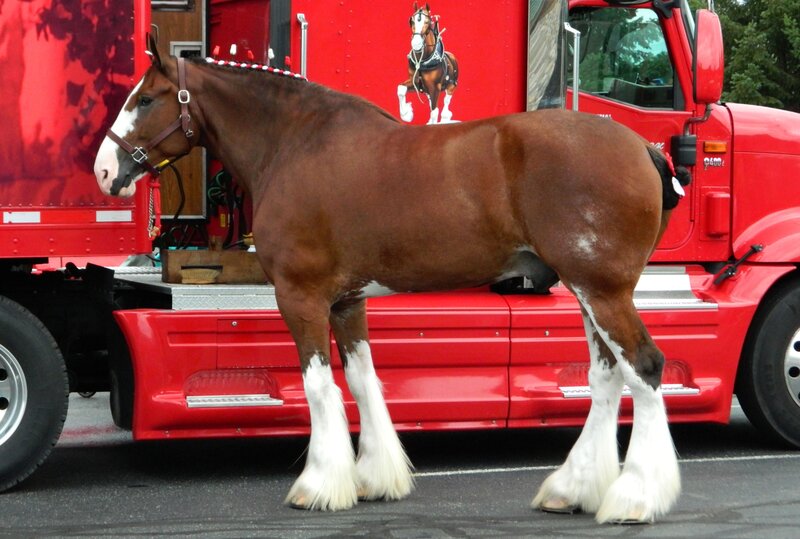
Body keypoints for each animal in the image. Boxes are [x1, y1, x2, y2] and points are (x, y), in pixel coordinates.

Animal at [93, 36, 691, 523]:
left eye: (145, 99)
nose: (104, 170)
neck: (294, 143)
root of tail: (643, 147)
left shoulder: (301, 296)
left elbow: (319, 385)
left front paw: (318, 485)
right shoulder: (346, 301)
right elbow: (362, 382)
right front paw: (374, 478)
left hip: (603, 290)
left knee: (643, 369)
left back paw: (635, 498)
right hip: (588, 292)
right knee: (607, 378)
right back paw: (574, 489)